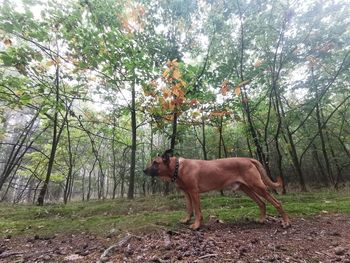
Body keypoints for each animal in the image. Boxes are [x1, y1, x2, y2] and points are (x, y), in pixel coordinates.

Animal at [144, 151, 292, 231]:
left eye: (155, 162)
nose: (144, 170)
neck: (178, 167)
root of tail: (248, 159)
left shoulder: (194, 192)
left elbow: (197, 211)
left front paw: (196, 225)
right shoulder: (187, 193)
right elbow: (189, 209)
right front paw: (186, 220)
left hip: (258, 186)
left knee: (277, 203)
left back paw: (286, 222)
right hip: (247, 188)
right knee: (262, 203)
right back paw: (261, 220)